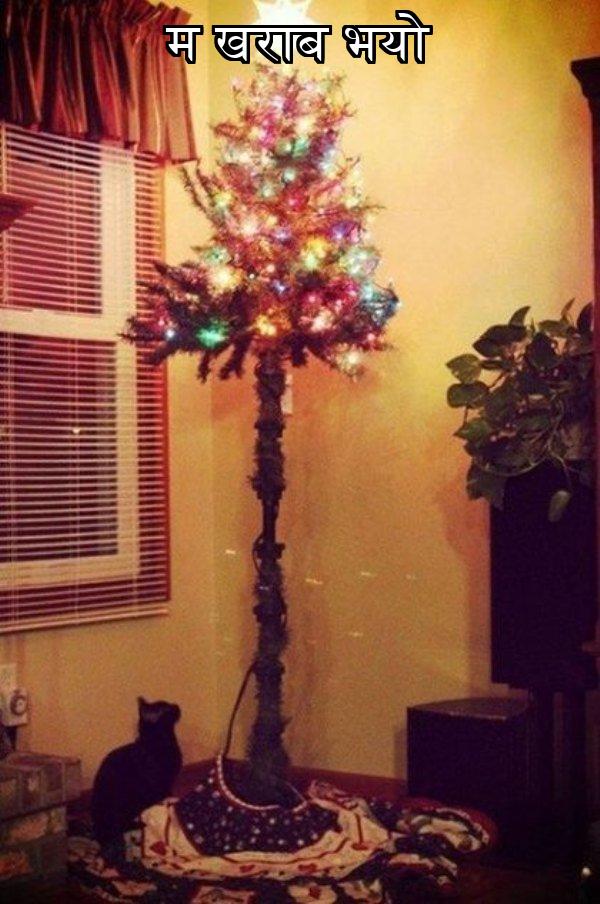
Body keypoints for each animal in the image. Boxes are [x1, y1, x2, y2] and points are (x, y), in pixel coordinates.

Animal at [91, 697, 182, 849]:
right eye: (168, 708)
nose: (178, 706)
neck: (155, 742)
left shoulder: (168, 783)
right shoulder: (158, 785)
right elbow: (164, 797)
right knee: (122, 825)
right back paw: (140, 824)